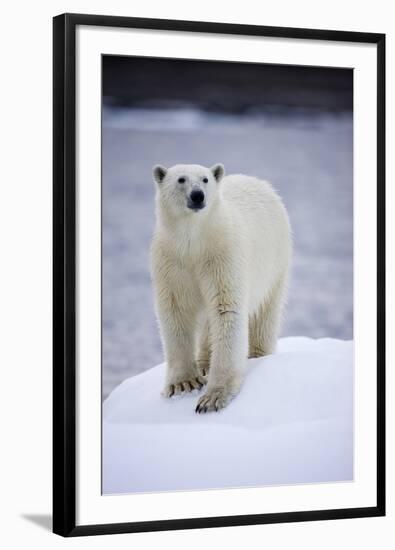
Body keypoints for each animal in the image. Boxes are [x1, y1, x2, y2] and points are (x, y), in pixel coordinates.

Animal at [150, 164, 292, 414]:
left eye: (205, 179)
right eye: (181, 179)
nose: (197, 195)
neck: (194, 243)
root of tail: (260, 183)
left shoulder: (221, 256)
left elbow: (226, 309)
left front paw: (213, 397)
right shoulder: (171, 261)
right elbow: (176, 311)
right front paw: (183, 384)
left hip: (275, 262)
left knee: (264, 316)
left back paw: (256, 355)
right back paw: (203, 363)